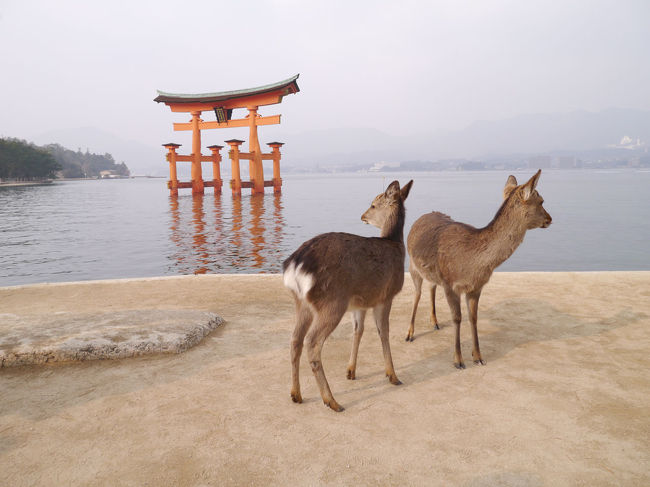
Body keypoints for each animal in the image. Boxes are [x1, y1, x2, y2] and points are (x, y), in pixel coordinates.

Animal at [282, 179, 410, 412]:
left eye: (373, 205)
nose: (363, 216)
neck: (396, 245)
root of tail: (295, 264)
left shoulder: (359, 303)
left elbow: (358, 331)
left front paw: (351, 371)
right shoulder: (386, 295)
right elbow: (383, 332)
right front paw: (393, 376)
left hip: (302, 302)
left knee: (295, 339)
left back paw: (296, 394)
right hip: (332, 302)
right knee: (312, 342)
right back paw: (331, 401)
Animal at [404, 170, 548, 368]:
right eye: (541, 201)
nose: (550, 219)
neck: (472, 264)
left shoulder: (476, 287)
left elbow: (473, 318)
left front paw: (478, 356)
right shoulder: (450, 284)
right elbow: (457, 318)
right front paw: (458, 360)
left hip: (431, 273)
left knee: (431, 286)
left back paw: (435, 322)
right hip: (413, 265)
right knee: (417, 294)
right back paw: (409, 334)